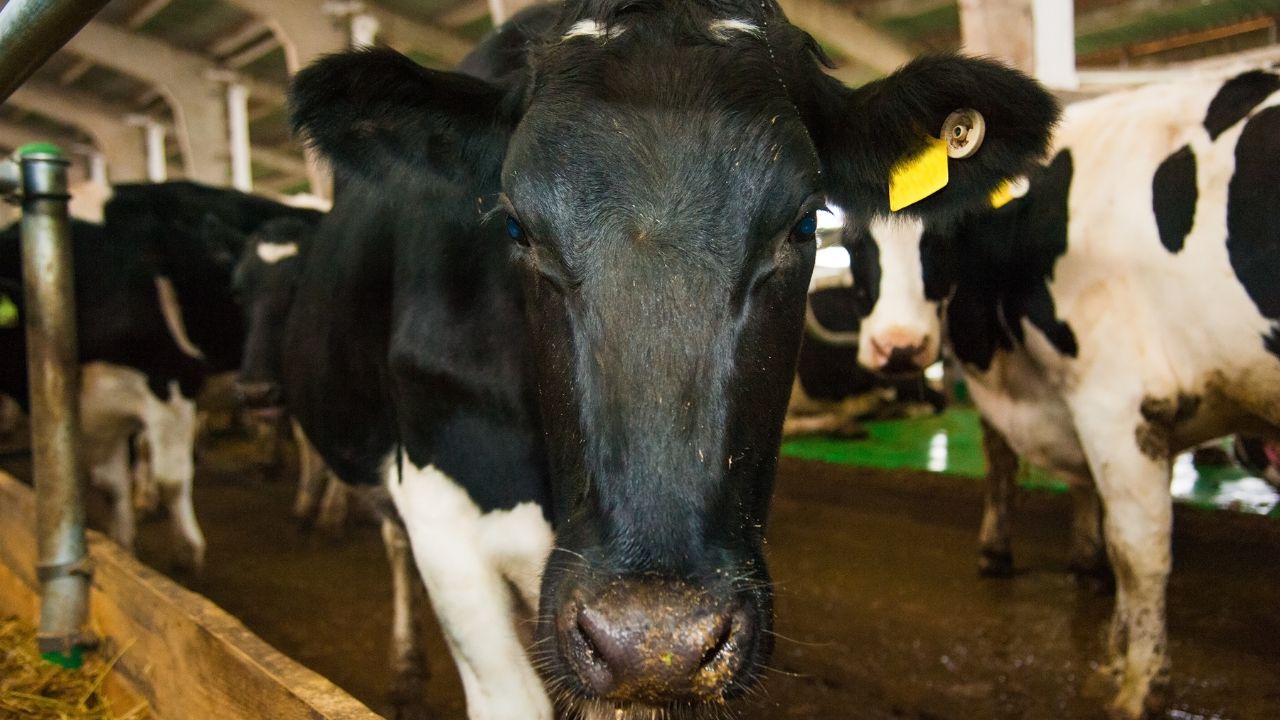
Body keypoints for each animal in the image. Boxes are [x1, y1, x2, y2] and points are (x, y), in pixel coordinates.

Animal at [844, 69, 1280, 719]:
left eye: (945, 233)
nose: (898, 346)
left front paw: (1137, 684)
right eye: (851, 241)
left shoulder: (1116, 400)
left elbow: (1138, 551)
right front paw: (1111, 649)